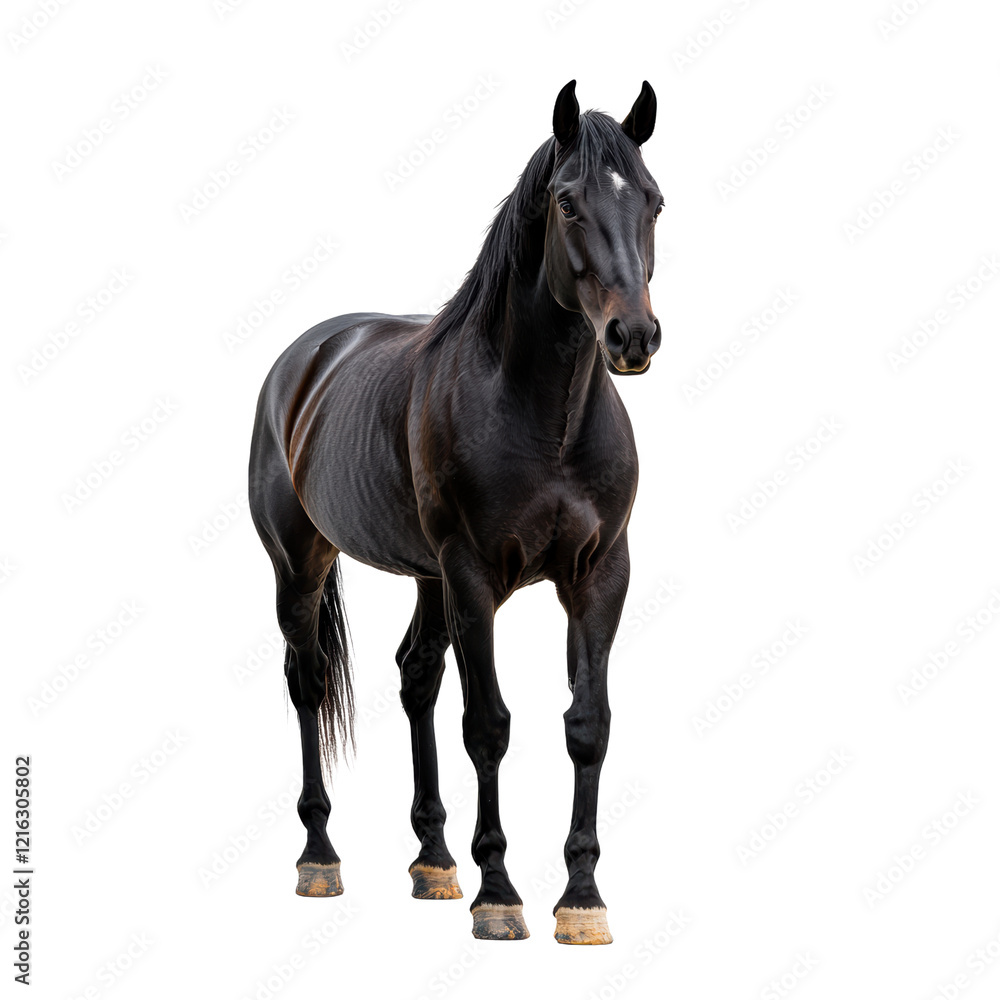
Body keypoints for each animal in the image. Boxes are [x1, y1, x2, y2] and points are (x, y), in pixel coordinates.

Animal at [248, 79, 662, 945]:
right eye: (567, 202)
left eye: (653, 200)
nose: (633, 337)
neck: (543, 417)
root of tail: (304, 359)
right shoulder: (473, 577)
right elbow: (489, 727)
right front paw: (499, 895)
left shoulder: (599, 577)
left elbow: (587, 725)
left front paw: (581, 901)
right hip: (301, 565)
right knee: (307, 683)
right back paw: (320, 858)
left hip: (425, 577)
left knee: (416, 677)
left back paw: (433, 862)